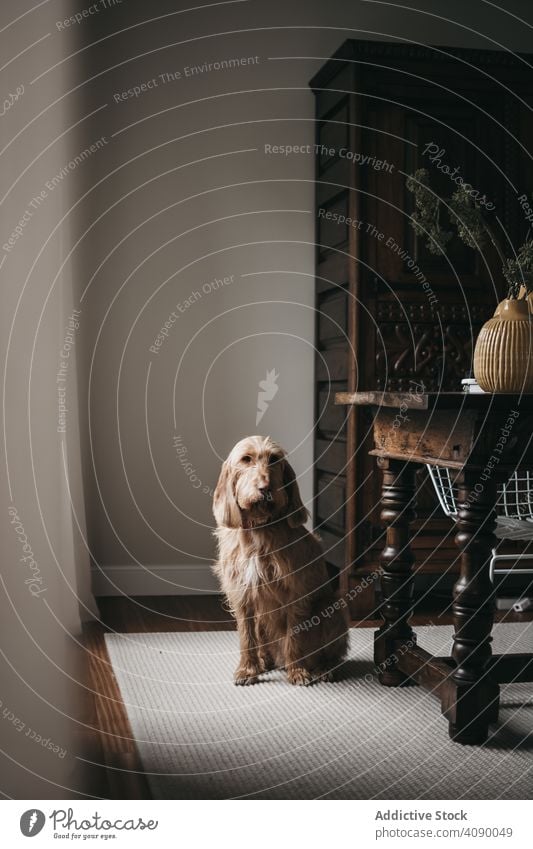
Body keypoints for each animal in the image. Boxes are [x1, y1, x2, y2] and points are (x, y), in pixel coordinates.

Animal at [213, 438, 350, 684]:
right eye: (246, 459)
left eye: (274, 459)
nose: (265, 488)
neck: (259, 529)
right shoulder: (241, 594)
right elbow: (247, 636)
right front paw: (248, 669)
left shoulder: (294, 593)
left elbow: (293, 636)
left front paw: (297, 671)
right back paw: (263, 661)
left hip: (329, 608)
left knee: (333, 654)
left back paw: (324, 668)